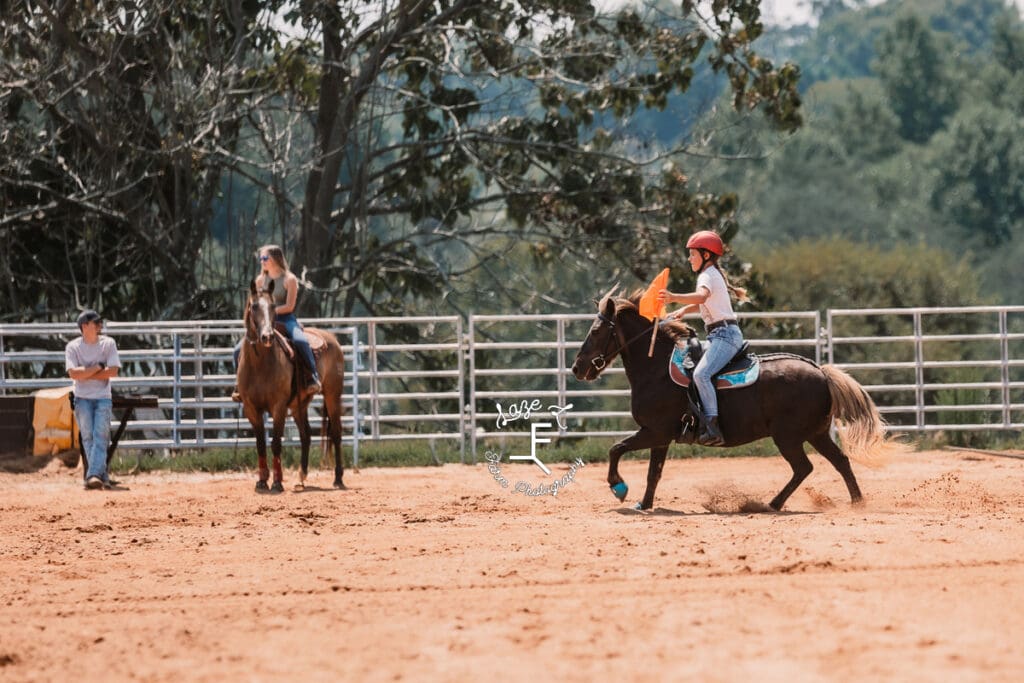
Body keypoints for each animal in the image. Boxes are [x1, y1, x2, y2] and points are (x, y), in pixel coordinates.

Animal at [238, 280, 348, 493]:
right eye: (254, 306)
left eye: (273, 306)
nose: (267, 337)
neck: (259, 364)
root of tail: (332, 339)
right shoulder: (251, 408)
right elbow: (260, 444)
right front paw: (262, 481)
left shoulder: (278, 406)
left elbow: (275, 443)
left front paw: (277, 482)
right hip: (299, 405)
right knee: (306, 434)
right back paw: (302, 475)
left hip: (333, 394)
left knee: (336, 433)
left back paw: (338, 478)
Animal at [573, 288, 909, 511]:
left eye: (596, 330)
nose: (578, 367)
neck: (657, 368)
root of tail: (822, 373)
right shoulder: (661, 437)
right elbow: (653, 472)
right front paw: (643, 504)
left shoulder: (654, 431)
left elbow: (616, 449)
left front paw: (619, 487)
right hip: (815, 433)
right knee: (839, 461)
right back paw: (856, 502)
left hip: (788, 436)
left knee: (804, 468)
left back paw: (769, 504)